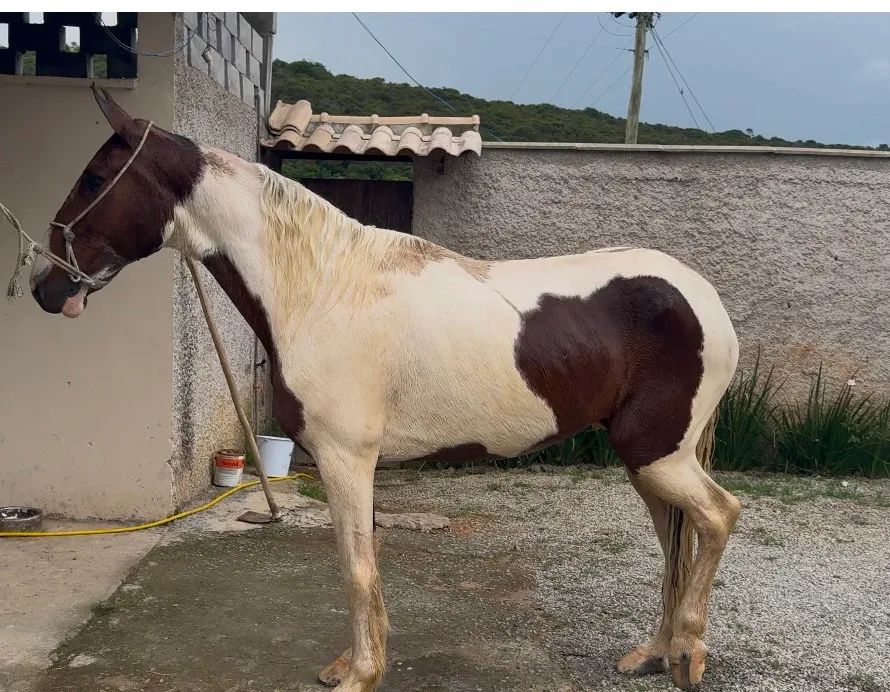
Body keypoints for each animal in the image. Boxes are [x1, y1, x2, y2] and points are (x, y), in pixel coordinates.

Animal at [30, 86, 742, 692]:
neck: (321, 288)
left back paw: (689, 657)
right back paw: (654, 654)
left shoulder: (346, 459)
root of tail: (703, 297)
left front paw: (361, 675)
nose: (45, 286)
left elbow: (356, 568)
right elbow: (358, 561)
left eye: (94, 178)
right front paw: (352, 664)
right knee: (674, 542)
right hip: (647, 462)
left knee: (717, 516)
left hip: (657, 455)